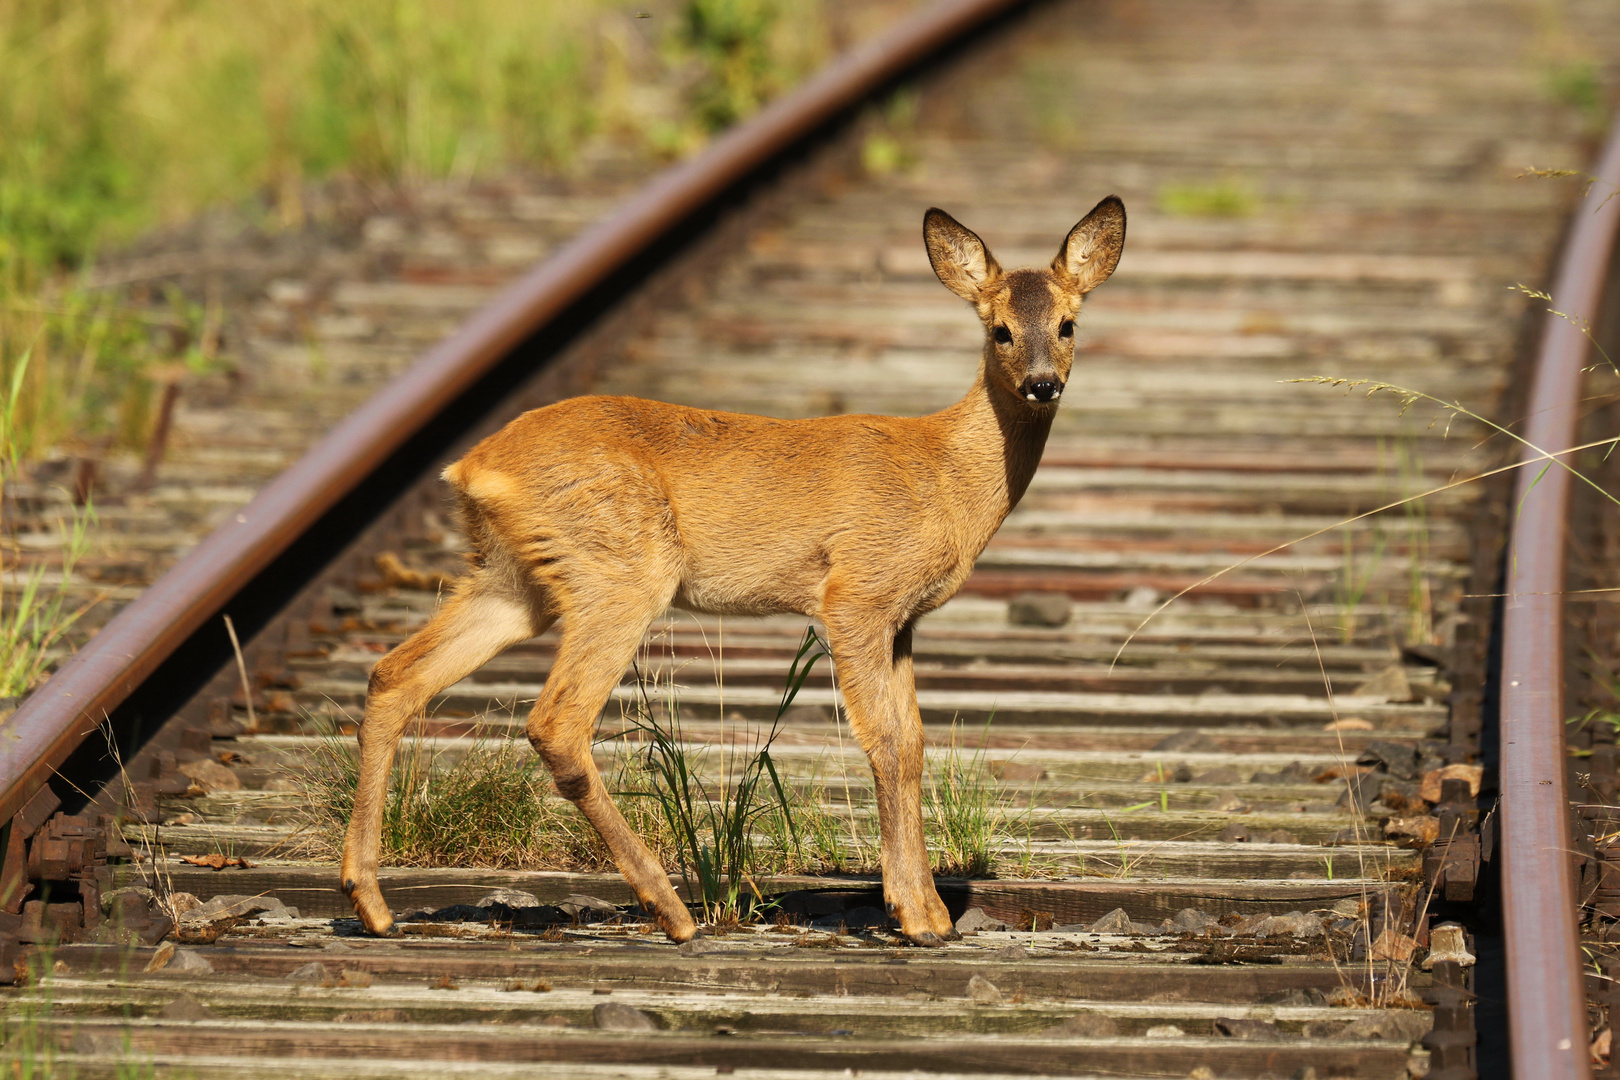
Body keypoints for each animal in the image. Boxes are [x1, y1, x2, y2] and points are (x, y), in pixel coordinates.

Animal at [341, 194, 1127, 945]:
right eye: (999, 330)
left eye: (1068, 324)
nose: (1042, 384)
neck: (946, 475)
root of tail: (473, 468)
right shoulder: (858, 591)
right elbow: (885, 742)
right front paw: (918, 918)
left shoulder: (901, 618)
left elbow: (912, 744)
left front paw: (926, 906)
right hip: (620, 569)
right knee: (556, 720)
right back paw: (672, 912)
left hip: (514, 581)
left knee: (395, 673)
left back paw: (370, 902)